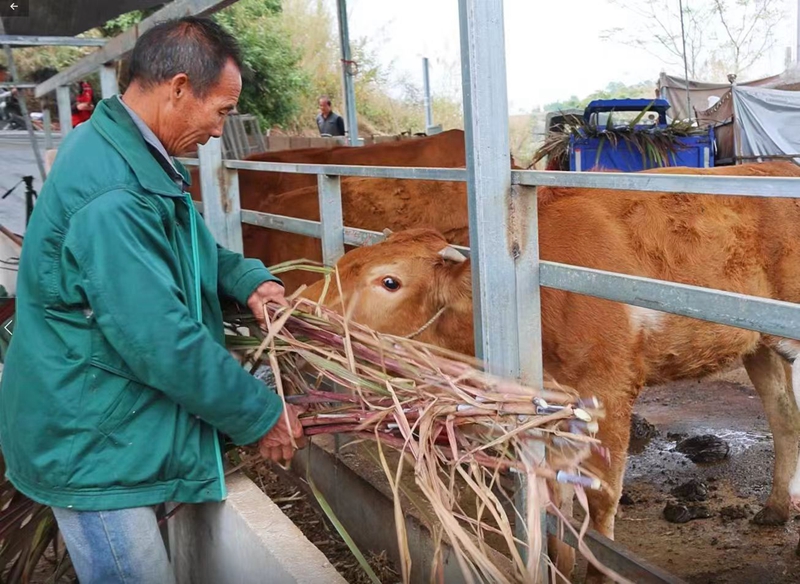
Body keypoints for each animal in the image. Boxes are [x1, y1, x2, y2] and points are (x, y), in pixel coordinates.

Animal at [298, 161, 800, 580]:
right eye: (343, 264)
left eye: (389, 281)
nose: (301, 305)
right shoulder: (554, 405)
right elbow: (557, 496)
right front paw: (558, 566)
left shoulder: (609, 390)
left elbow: (599, 499)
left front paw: (598, 572)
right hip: (762, 346)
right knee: (784, 416)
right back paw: (775, 507)